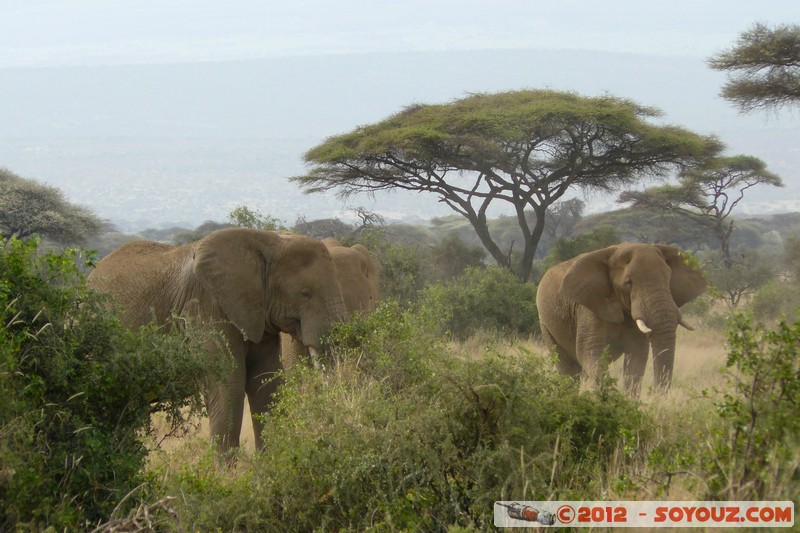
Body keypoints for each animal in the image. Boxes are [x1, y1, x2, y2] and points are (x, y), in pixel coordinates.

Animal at [86, 227, 346, 450]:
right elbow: (228, 385)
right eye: (305, 293)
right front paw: (227, 474)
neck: (267, 241)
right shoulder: (205, 306)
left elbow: (265, 383)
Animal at [536, 243, 708, 392]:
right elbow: (590, 353)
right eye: (628, 282)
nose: (657, 396)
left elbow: (637, 357)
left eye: (668, 279)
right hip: (545, 324)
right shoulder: (589, 309)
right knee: (568, 369)